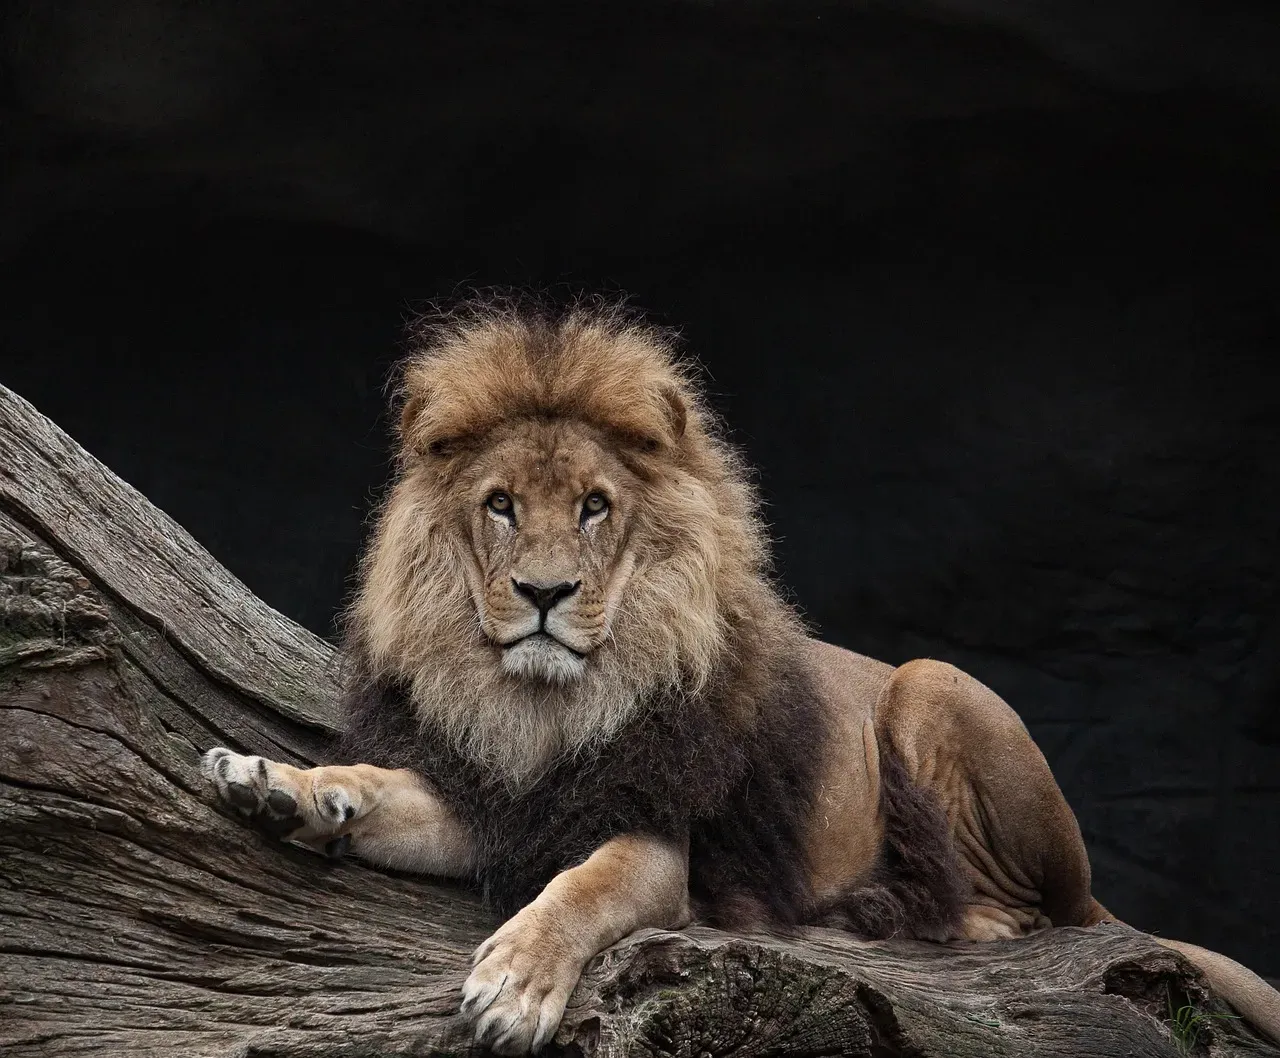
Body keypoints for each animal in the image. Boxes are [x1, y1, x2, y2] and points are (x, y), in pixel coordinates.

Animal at [201, 301, 1280, 1054]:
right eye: (500, 504)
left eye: (595, 506)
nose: (544, 593)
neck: (544, 704)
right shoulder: (508, 802)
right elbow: (384, 788)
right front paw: (280, 786)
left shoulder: (651, 838)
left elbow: (581, 890)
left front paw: (514, 984)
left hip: (933, 687)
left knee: (1024, 914)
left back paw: (897, 912)